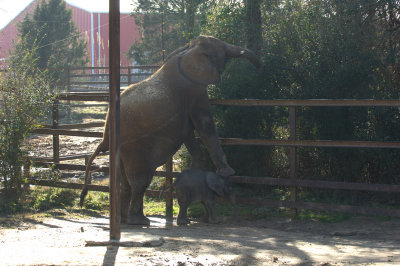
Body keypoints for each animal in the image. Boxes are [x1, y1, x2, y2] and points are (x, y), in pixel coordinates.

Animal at [81, 35, 262, 224]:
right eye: (223, 49)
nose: (260, 69)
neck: (188, 49)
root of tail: (105, 134)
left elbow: (189, 133)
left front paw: (197, 170)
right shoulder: (194, 89)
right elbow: (204, 125)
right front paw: (228, 171)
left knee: (125, 182)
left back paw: (125, 220)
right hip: (133, 145)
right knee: (140, 181)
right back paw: (139, 221)